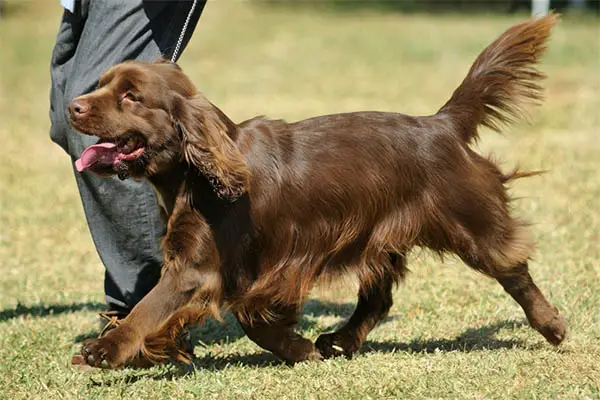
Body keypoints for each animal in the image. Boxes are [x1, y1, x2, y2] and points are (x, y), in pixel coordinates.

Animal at [68, 13, 564, 368]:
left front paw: (105, 348)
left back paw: (552, 326)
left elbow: (150, 307)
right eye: (103, 85)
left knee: (512, 268)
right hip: (378, 236)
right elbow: (250, 320)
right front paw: (301, 348)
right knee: (379, 297)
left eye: (131, 96)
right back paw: (340, 341)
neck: (196, 174)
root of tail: (441, 124)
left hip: (470, 222)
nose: (73, 106)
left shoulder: (202, 268)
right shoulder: (248, 268)